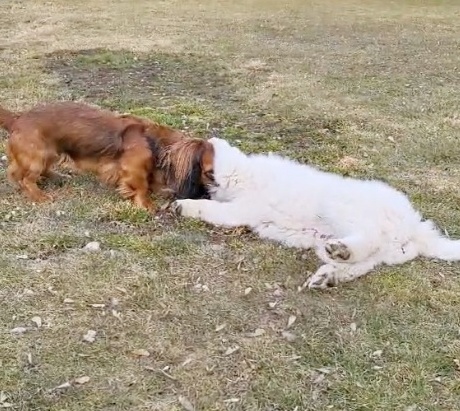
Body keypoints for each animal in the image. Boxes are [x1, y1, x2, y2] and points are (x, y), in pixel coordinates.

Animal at [0, 101, 213, 209]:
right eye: (210, 173)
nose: (205, 196)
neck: (152, 140)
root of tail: (17, 118)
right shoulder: (134, 168)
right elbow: (141, 186)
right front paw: (146, 204)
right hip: (38, 156)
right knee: (26, 179)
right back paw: (39, 196)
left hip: (51, 152)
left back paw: (57, 177)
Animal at [172, 137, 460, 289]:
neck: (243, 173)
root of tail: (416, 228)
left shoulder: (240, 209)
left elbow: (210, 208)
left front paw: (183, 205)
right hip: (351, 245)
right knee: (362, 263)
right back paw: (329, 274)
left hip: (342, 209)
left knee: (369, 238)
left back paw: (340, 254)